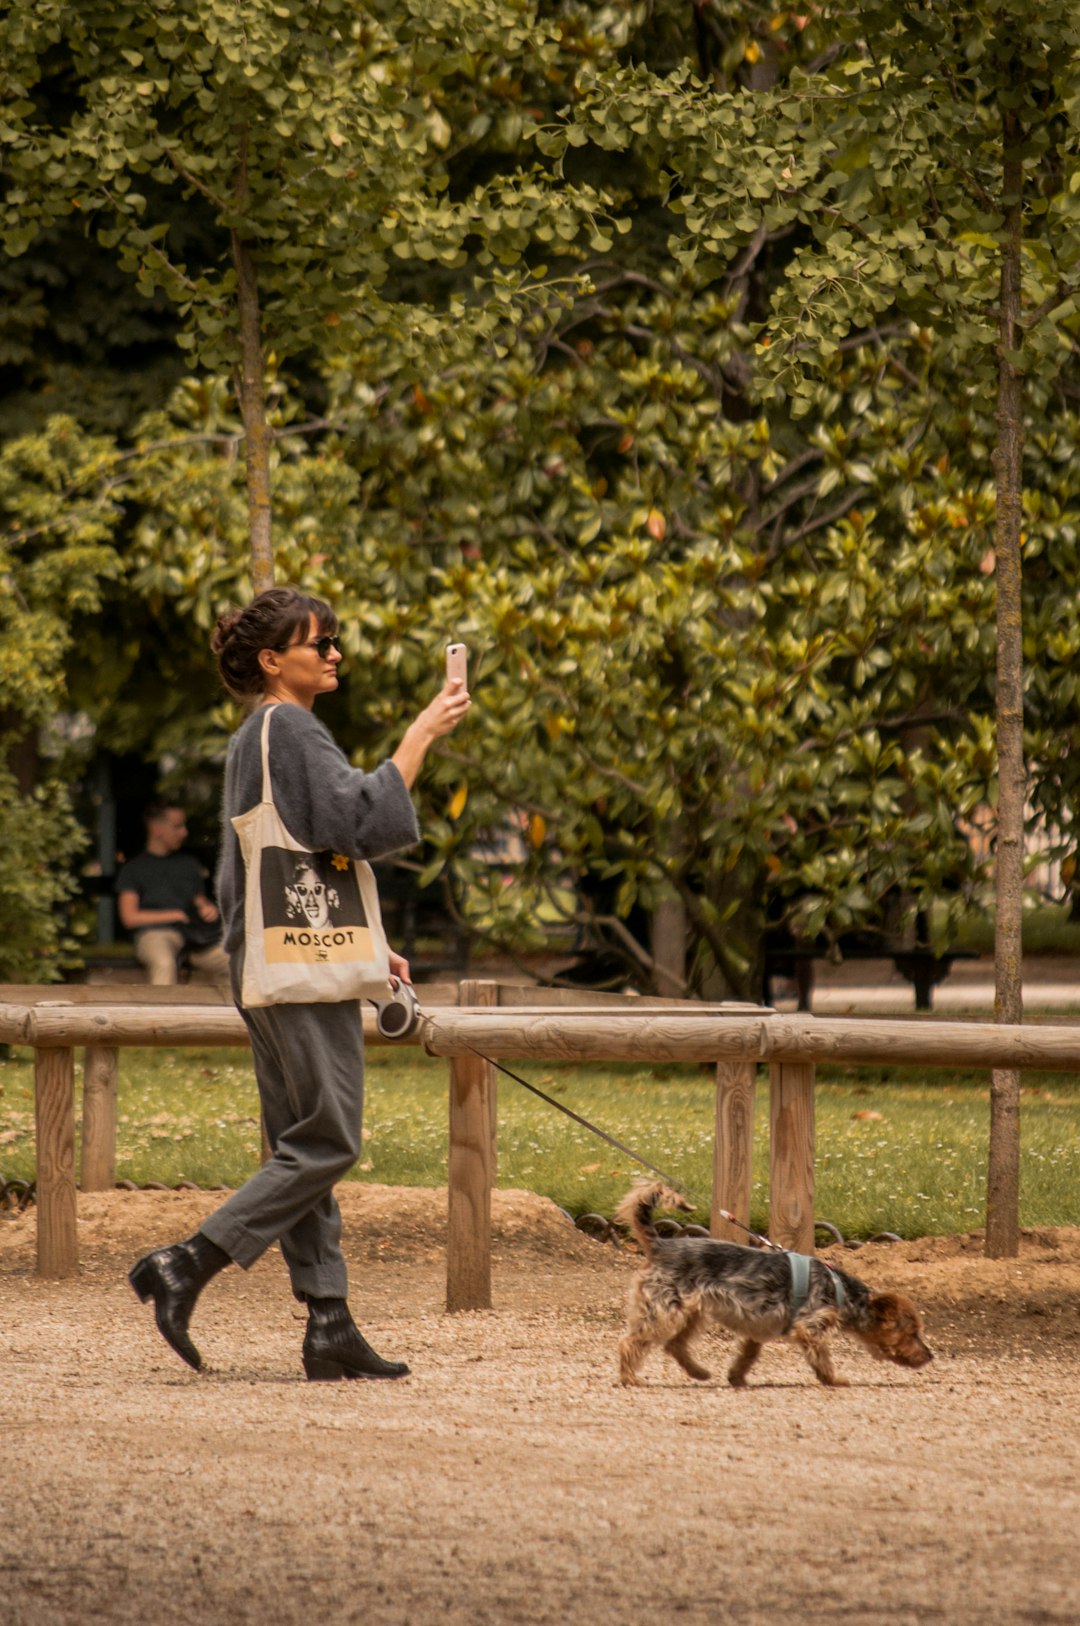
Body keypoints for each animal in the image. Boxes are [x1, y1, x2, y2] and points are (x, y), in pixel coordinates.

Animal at [621, 1177, 930, 1391]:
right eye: (912, 1332)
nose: (930, 1355)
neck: (842, 1292)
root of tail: (661, 1246)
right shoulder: (810, 1328)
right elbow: (823, 1358)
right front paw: (835, 1379)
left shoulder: (757, 1329)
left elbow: (747, 1356)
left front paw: (736, 1377)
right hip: (663, 1308)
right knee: (631, 1342)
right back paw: (630, 1378)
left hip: (690, 1312)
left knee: (674, 1344)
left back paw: (699, 1372)